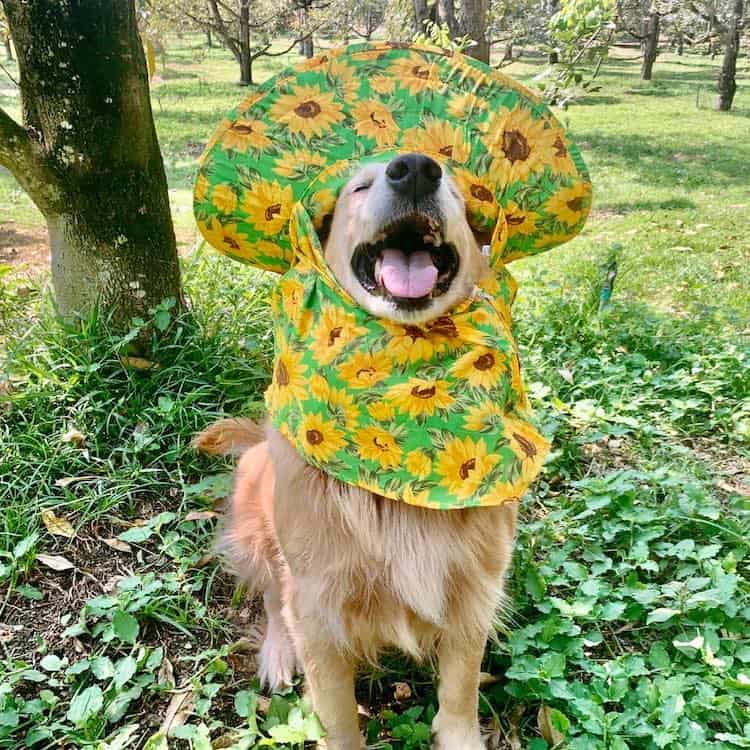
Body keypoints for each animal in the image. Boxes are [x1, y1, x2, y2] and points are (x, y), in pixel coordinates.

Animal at [197, 154, 520, 750]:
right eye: (359, 187)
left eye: (458, 194)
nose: (415, 169)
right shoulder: (318, 610)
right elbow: (337, 715)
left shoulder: (474, 593)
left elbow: (459, 696)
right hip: (257, 536)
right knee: (271, 597)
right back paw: (277, 652)